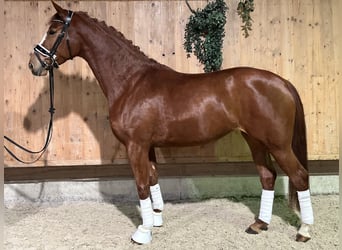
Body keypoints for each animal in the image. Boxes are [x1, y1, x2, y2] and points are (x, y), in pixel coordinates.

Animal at [28, 1, 312, 244]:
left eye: (53, 31)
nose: (34, 65)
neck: (131, 82)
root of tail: (282, 82)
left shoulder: (136, 145)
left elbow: (142, 184)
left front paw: (142, 232)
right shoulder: (148, 146)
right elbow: (153, 178)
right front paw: (155, 220)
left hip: (278, 145)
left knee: (299, 176)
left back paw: (304, 231)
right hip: (255, 140)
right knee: (268, 175)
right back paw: (259, 224)